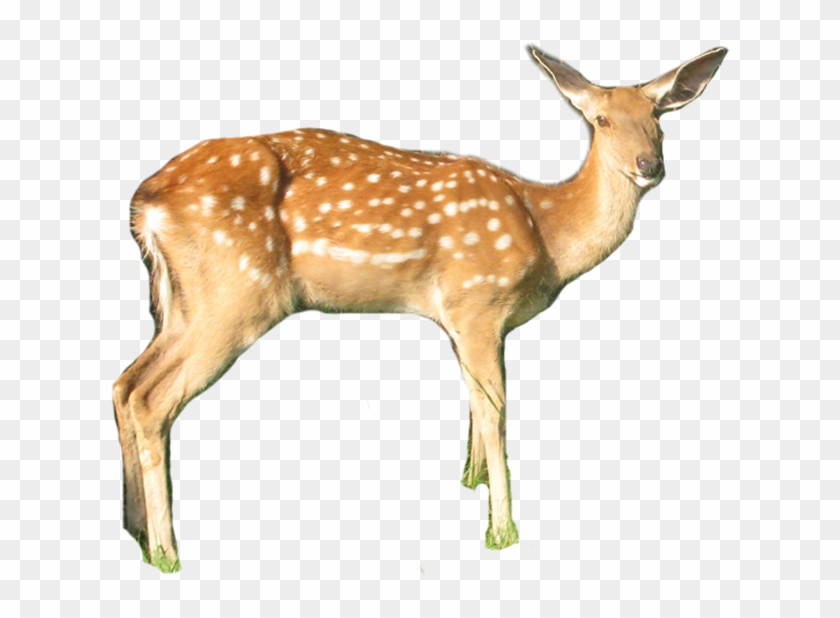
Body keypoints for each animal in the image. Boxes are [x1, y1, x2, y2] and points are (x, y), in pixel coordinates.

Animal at [113, 45, 727, 572]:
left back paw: (136, 531)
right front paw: (501, 531)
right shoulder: (477, 299)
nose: (649, 164)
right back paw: (167, 552)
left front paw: (471, 483)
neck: (546, 229)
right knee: (151, 398)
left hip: (182, 302)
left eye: (658, 118)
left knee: (125, 383)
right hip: (237, 293)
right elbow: (497, 411)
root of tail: (144, 202)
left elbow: (476, 407)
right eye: (600, 120)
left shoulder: (466, 320)